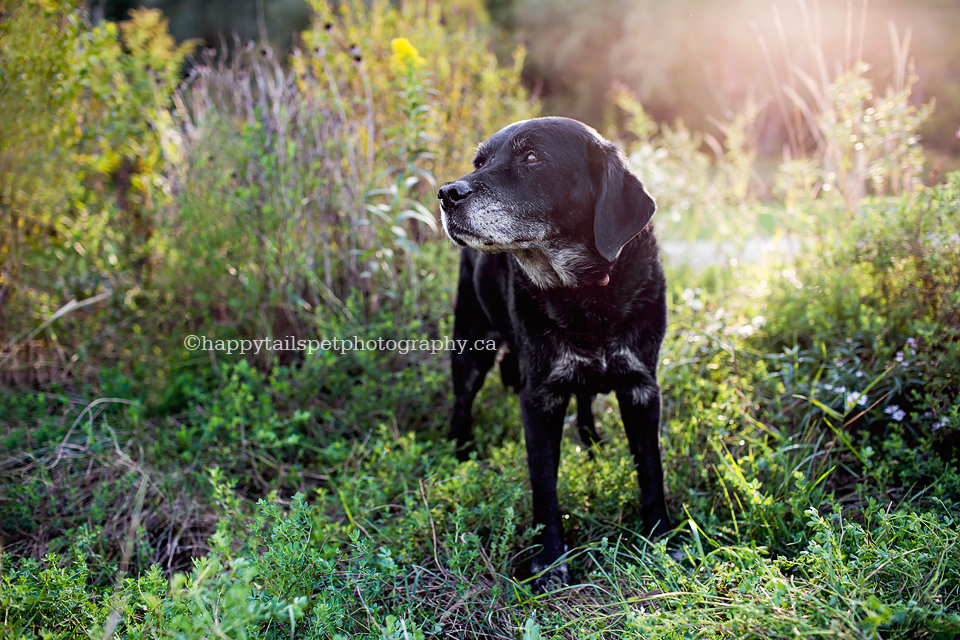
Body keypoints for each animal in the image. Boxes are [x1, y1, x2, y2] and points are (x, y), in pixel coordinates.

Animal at [438, 116, 672, 592]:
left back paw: (593, 441)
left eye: (532, 157)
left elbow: (651, 472)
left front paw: (661, 542)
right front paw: (549, 564)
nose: (447, 192)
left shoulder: (642, 389)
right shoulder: (539, 399)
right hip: (471, 345)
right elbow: (545, 487)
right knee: (462, 403)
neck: (585, 292)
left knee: (585, 399)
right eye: (479, 162)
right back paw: (462, 455)